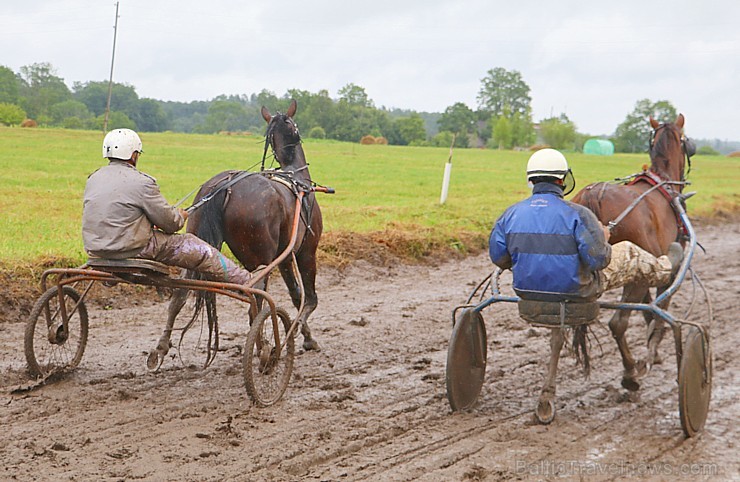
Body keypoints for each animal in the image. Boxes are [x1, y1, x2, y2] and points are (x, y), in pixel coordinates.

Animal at [147, 98, 324, 370]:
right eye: (296, 126)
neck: (295, 178)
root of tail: (225, 186)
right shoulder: (306, 251)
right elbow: (308, 300)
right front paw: (299, 335)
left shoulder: (285, 257)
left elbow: (296, 295)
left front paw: (303, 336)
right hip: (261, 259)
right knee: (256, 303)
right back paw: (264, 349)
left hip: (199, 246)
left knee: (180, 295)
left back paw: (161, 346)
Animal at [568, 116, 692, 392]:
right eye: (686, 142)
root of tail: (595, 195)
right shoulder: (664, 271)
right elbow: (658, 309)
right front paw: (653, 351)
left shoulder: (644, 268)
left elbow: (647, 308)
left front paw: (654, 353)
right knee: (618, 323)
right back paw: (630, 373)